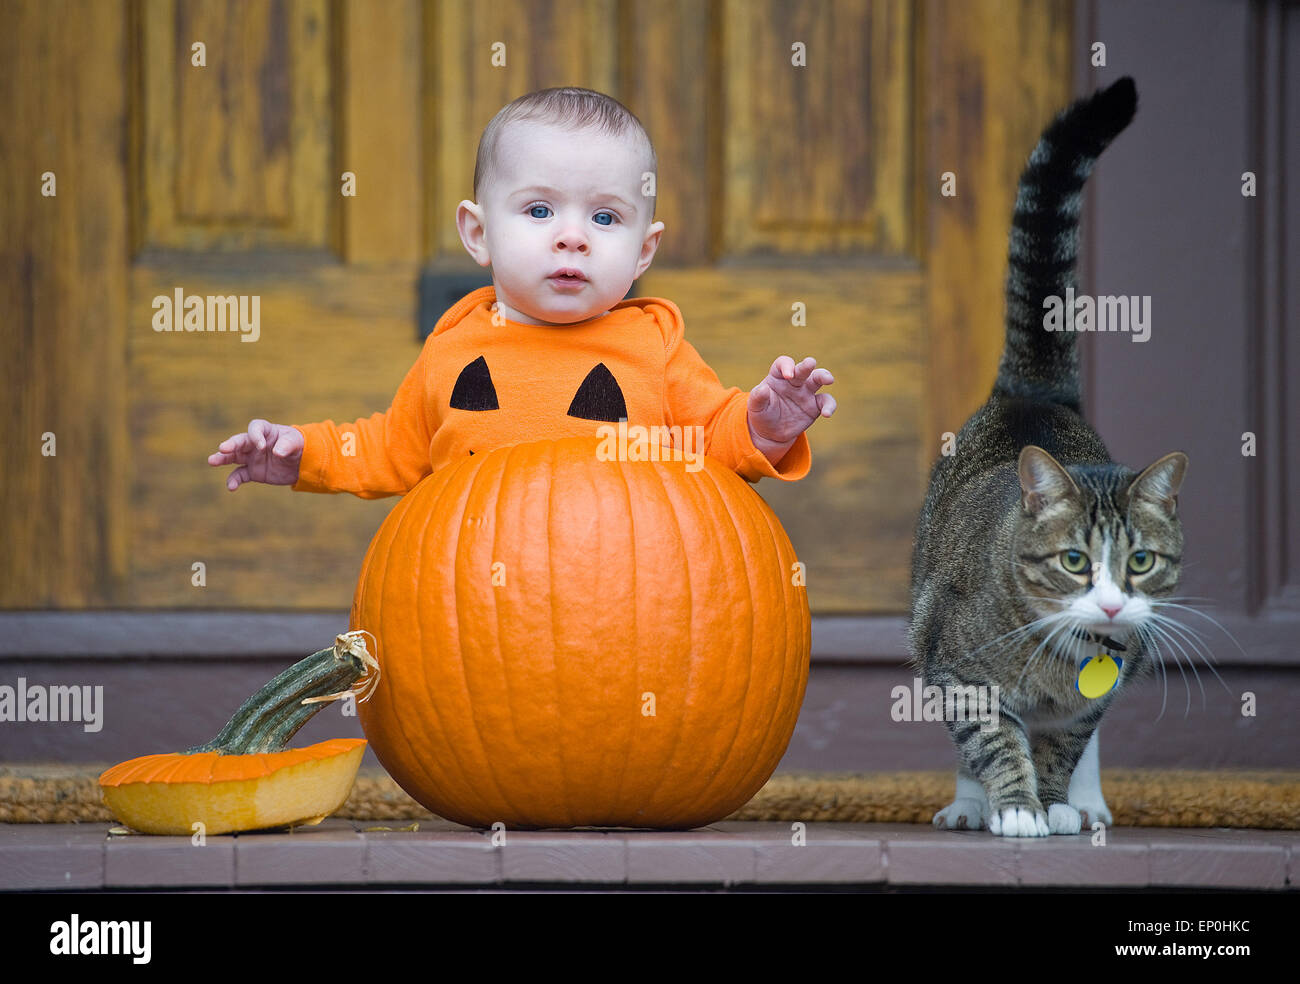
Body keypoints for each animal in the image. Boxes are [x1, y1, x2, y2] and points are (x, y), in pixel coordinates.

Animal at [904, 74, 1190, 837]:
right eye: (1073, 561)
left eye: (1140, 562)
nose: (1114, 604)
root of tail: (1031, 393)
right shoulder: (956, 668)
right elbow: (992, 742)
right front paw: (1013, 806)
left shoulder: (1093, 696)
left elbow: (1066, 743)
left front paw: (1057, 803)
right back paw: (971, 804)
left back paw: (1083, 803)